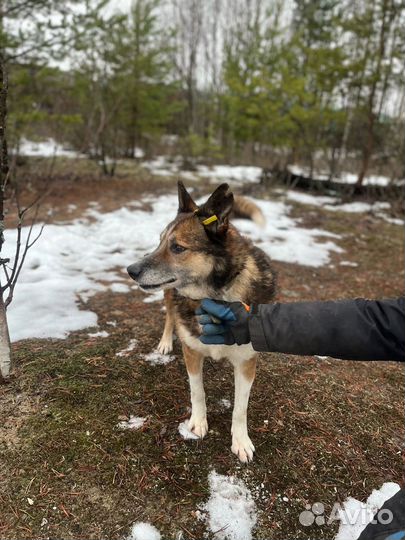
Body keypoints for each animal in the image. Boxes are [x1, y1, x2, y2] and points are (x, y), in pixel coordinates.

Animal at [128, 184, 276, 462]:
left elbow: (240, 407)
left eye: (177, 247)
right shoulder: (192, 352)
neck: (215, 296)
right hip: (168, 293)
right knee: (170, 316)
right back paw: (165, 342)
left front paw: (240, 440)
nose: (130, 270)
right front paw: (197, 423)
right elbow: (197, 391)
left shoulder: (246, 362)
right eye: (160, 241)